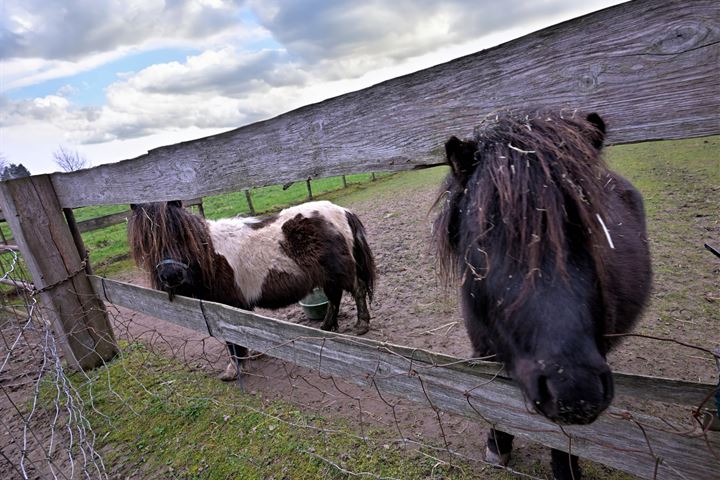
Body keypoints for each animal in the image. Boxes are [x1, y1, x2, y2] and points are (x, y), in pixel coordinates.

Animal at [129, 199, 374, 378]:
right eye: (146, 242)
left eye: (181, 235)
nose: (171, 275)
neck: (210, 257)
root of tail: (342, 210)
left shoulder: (226, 306)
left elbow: (232, 340)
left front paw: (234, 369)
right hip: (328, 277)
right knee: (334, 298)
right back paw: (326, 327)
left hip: (341, 272)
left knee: (357, 290)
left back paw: (361, 325)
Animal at [434, 110, 652, 478]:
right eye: (483, 236)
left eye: (592, 228)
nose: (577, 391)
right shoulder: (484, 353)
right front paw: (498, 445)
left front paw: (566, 468)